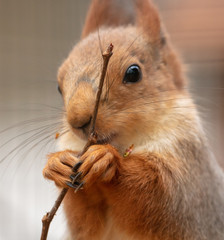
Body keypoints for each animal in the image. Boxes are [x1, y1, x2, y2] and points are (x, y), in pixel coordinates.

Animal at [42, 0, 224, 240]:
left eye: (133, 73)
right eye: (58, 86)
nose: (78, 120)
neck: (126, 142)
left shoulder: (193, 182)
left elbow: (161, 195)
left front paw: (107, 159)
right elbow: (85, 224)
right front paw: (57, 163)